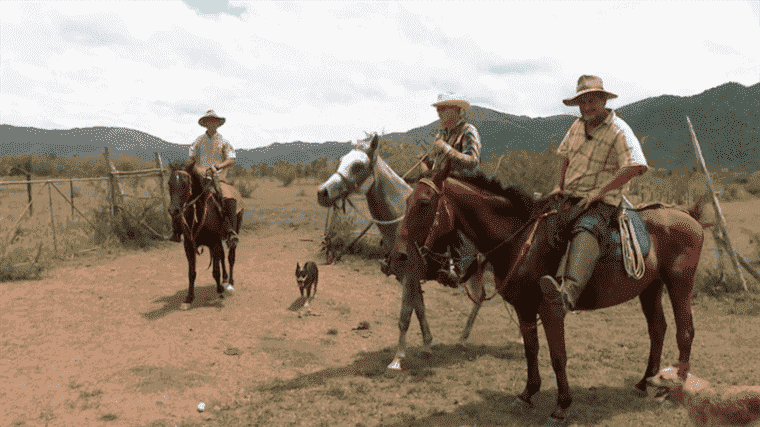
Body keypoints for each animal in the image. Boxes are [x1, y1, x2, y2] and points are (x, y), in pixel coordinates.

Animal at [168, 164, 242, 310]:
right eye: (169, 183)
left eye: (185, 183)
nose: (173, 211)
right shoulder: (189, 245)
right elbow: (192, 273)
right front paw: (189, 298)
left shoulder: (214, 242)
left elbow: (215, 270)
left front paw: (220, 290)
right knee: (222, 256)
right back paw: (225, 278)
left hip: (234, 233)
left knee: (231, 257)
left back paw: (230, 284)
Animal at [392, 167, 708, 427]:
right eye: (406, 202)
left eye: (424, 203)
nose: (398, 256)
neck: (523, 241)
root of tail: (689, 216)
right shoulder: (524, 308)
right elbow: (531, 350)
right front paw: (527, 394)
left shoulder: (551, 309)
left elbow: (558, 356)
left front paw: (561, 407)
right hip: (650, 287)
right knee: (658, 329)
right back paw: (645, 383)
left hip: (679, 284)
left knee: (685, 332)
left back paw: (671, 390)